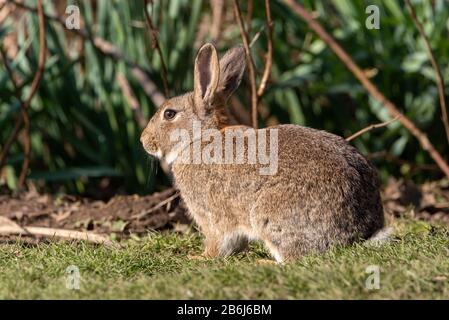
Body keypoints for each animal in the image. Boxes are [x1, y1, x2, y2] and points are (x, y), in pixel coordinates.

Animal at [139, 43, 382, 262]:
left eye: (169, 114)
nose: (143, 140)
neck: (198, 138)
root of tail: (357, 232)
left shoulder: (212, 217)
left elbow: (218, 242)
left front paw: (200, 258)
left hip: (269, 216)